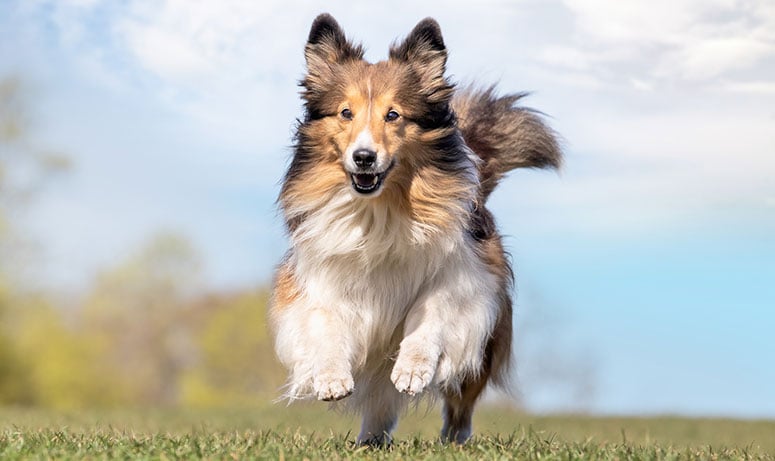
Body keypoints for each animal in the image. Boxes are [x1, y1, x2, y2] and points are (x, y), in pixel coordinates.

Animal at [270, 13, 560, 446]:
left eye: (393, 115)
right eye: (345, 113)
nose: (364, 157)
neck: (378, 211)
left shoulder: (461, 282)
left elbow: (428, 320)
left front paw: (412, 369)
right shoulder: (318, 279)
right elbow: (325, 325)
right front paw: (331, 378)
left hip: (483, 348)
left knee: (460, 402)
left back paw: (453, 439)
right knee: (379, 401)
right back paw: (371, 440)